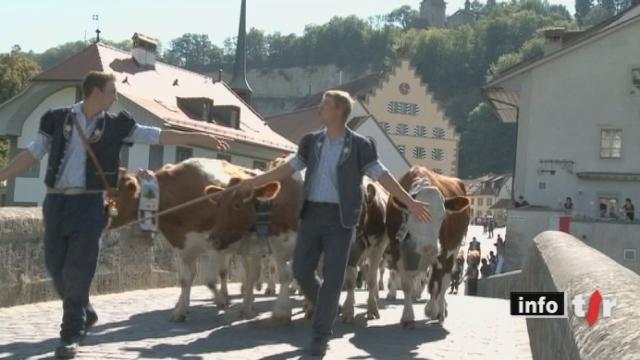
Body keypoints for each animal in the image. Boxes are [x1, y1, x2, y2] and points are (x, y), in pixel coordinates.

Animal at [109, 159, 258, 322]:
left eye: (115, 193)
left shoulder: (213, 244)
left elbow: (210, 279)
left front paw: (220, 300)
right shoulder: (183, 246)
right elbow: (185, 279)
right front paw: (180, 310)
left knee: (251, 273)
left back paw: (247, 304)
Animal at [340, 179, 390, 322]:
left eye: (360, 207)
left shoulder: (379, 248)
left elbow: (372, 279)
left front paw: (372, 309)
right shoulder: (351, 251)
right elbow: (350, 280)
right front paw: (348, 310)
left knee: (372, 273)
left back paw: (376, 297)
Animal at [384, 166, 470, 326]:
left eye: (444, 216)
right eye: (416, 214)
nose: (430, 247)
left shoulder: (442, 252)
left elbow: (435, 284)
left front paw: (433, 310)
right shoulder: (396, 248)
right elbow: (406, 283)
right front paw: (407, 316)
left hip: (453, 251)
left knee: (443, 283)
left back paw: (440, 309)